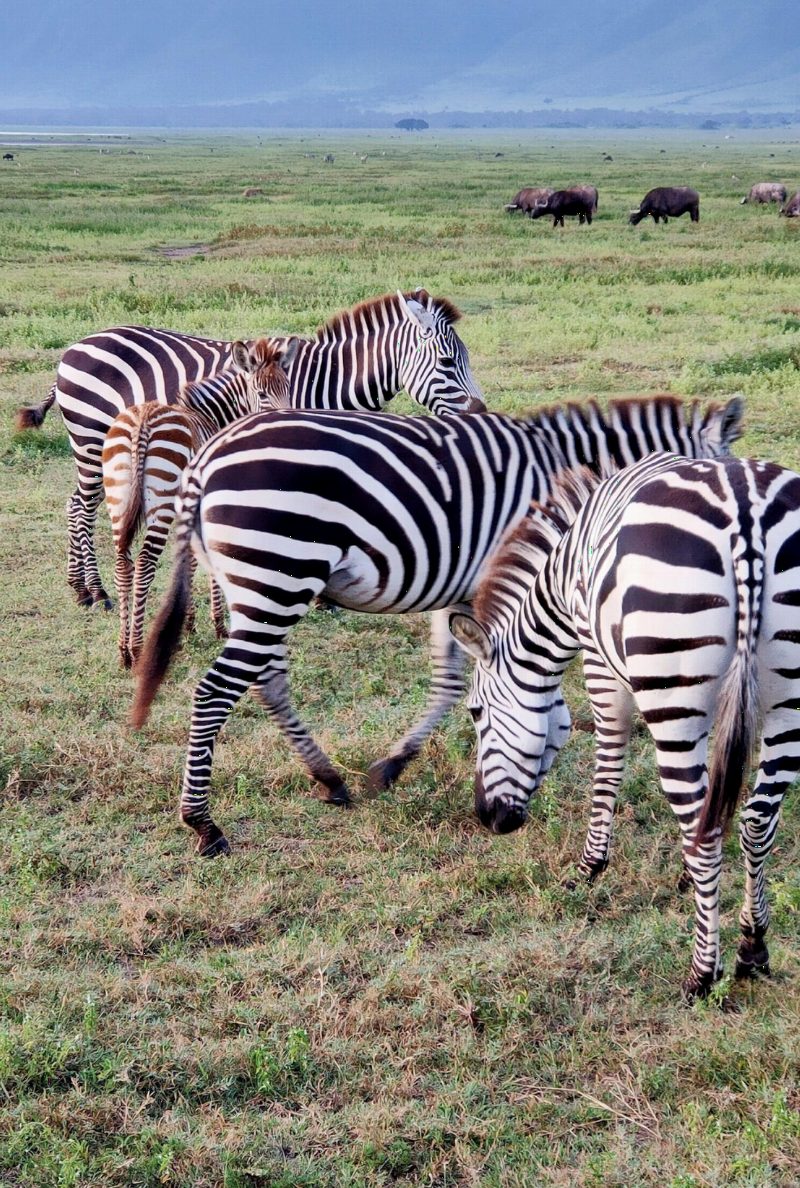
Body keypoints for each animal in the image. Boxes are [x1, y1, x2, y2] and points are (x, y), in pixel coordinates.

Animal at [15, 289, 485, 610]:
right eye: (448, 363)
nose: (480, 411)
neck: (323, 385)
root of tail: (76, 345)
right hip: (92, 439)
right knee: (81, 507)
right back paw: (93, 591)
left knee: (76, 504)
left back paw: (80, 587)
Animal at [102, 339, 296, 669]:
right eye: (262, 394)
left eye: (287, 387)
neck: (212, 417)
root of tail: (143, 419)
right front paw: (216, 623)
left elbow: (189, 561)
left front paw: (188, 624)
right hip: (161, 504)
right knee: (144, 564)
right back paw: (138, 649)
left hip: (119, 501)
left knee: (122, 563)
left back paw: (123, 651)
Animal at [129, 394, 743, 859]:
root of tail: (206, 457)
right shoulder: (515, 580)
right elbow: (528, 698)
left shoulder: (466, 589)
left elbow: (457, 684)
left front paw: (405, 768)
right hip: (278, 571)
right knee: (217, 689)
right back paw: (203, 823)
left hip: (258, 584)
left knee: (267, 679)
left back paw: (328, 778)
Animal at [449, 451, 800, 1001]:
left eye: (475, 712)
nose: (488, 818)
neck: (565, 570)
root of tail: (745, 512)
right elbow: (717, 802)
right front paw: (690, 882)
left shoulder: (598, 658)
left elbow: (609, 759)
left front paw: (590, 866)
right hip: (786, 701)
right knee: (757, 821)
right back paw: (752, 947)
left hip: (671, 680)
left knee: (707, 829)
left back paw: (702, 974)